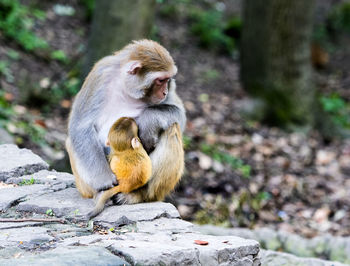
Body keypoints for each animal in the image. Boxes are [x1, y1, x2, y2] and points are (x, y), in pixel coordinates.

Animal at [65, 38, 186, 203]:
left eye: (168, 80)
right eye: (160, 80)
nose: (165, 92)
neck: (126, 87)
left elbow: (180, 113)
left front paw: (148, 122)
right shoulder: (100, 73)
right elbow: (80, 126)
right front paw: (104, 180)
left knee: (172, 127)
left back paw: (139, 195)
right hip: (85, 188)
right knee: (72, 142)